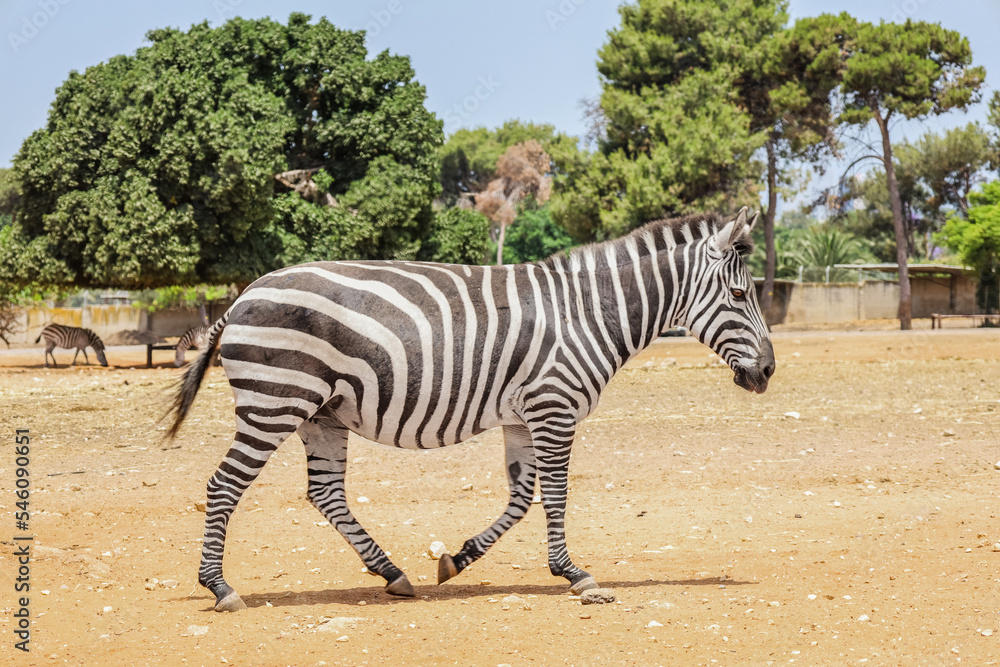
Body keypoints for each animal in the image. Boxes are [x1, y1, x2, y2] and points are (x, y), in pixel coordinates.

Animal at [166, 206, 772, 612]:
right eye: (741, 297)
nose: (767, 373)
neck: (589, 312)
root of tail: (243, 296)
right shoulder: (554, 406)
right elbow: (555, 492)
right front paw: (574, 574)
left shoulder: (522, 416)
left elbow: (522, 497)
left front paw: (457, 560)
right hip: (275, 402)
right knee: (224, 485)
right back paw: (220, 587)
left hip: (323, 413)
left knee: (326, 493)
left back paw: (392, 573)